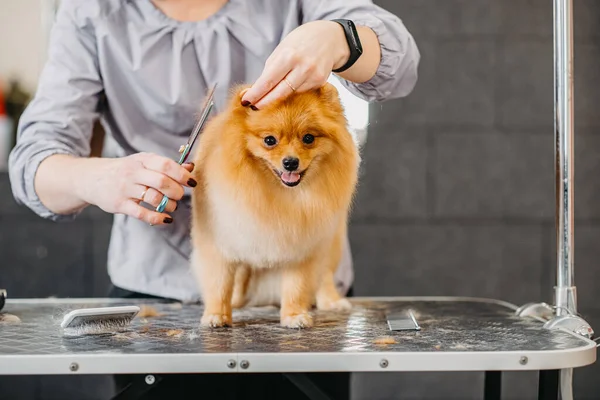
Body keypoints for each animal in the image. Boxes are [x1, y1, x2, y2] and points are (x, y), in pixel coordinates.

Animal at [190, 81, 358, 328]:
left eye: (308, 138)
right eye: (270, 140)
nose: (290, 162)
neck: (278, 195)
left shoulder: (300, 247)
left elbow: (296, 286)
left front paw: (294, 316)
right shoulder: (219, 243)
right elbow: (219, 284)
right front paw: (216, 315)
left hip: (330, 241)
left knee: (325, 274)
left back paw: (332, 301)